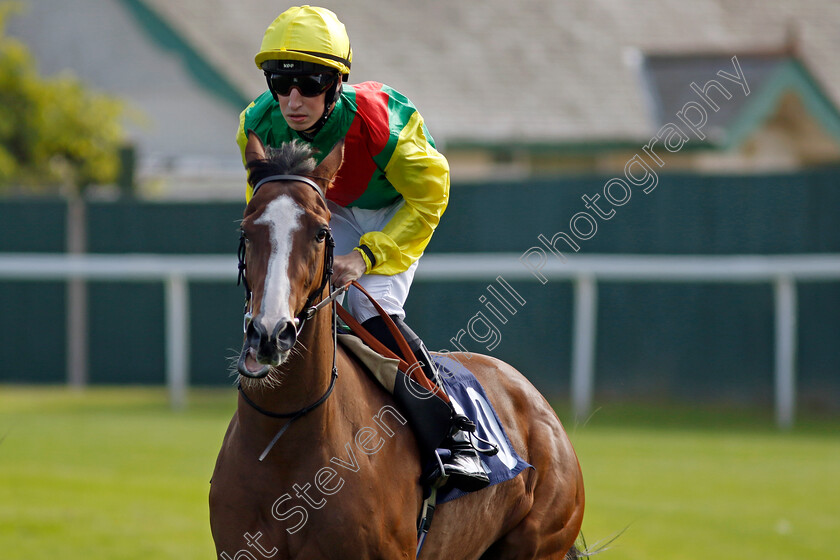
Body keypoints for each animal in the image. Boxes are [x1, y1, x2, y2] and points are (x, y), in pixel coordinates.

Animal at [210, 133, 584, 556]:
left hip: (541, 541)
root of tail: (539, 403)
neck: (284, 438)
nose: (270, 334)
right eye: (246, 230)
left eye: (320, 232)